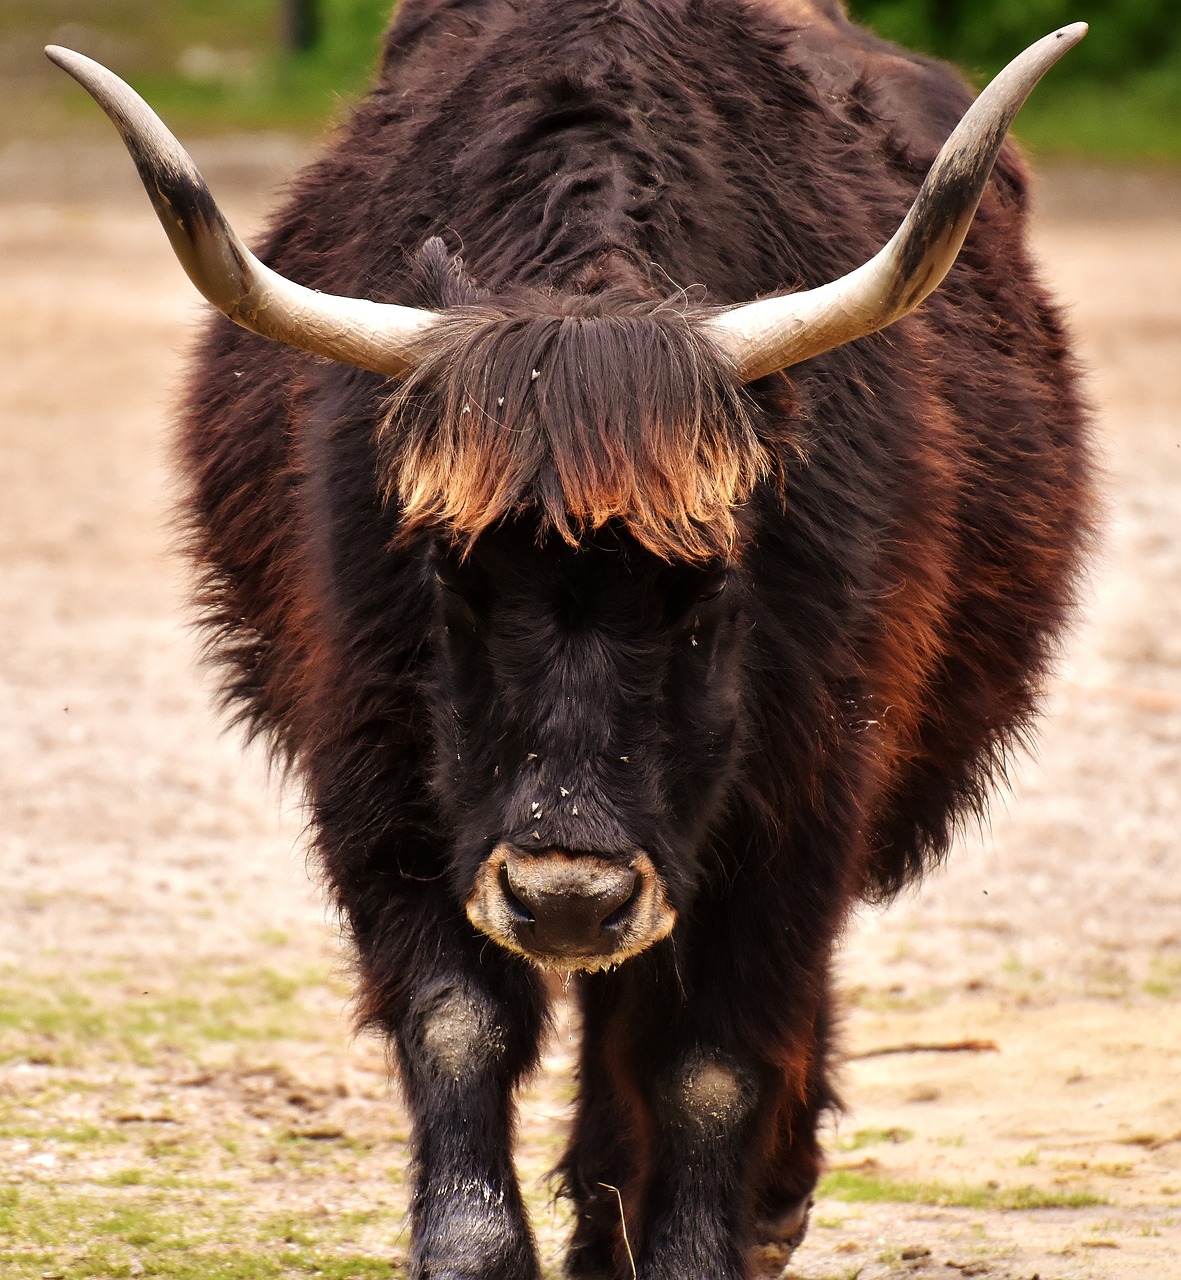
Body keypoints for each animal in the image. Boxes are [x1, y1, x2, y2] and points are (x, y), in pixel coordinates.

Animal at [53, 5, 1090, 1274]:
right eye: (453, 577)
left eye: (703, 587)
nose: (564, 899)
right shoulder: (382, 786)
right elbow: (457, 1021)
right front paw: (471, 1245)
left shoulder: (797, 800)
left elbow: (711, 1056)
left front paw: (699, 1242)